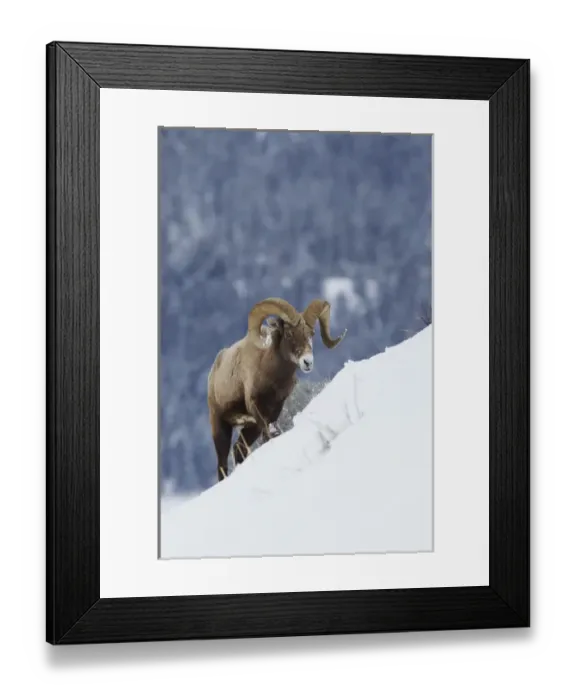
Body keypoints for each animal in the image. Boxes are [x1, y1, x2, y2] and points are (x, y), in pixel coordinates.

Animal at [207, 297, 347, 481]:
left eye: (311, 334)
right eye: (289, 334)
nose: (307, 362)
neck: (272, 375)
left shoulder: (275, 408)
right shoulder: (256, 407)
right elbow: (269, 435)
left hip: (250, 428)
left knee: (239, 449)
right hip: (220, 425)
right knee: (222, 463)